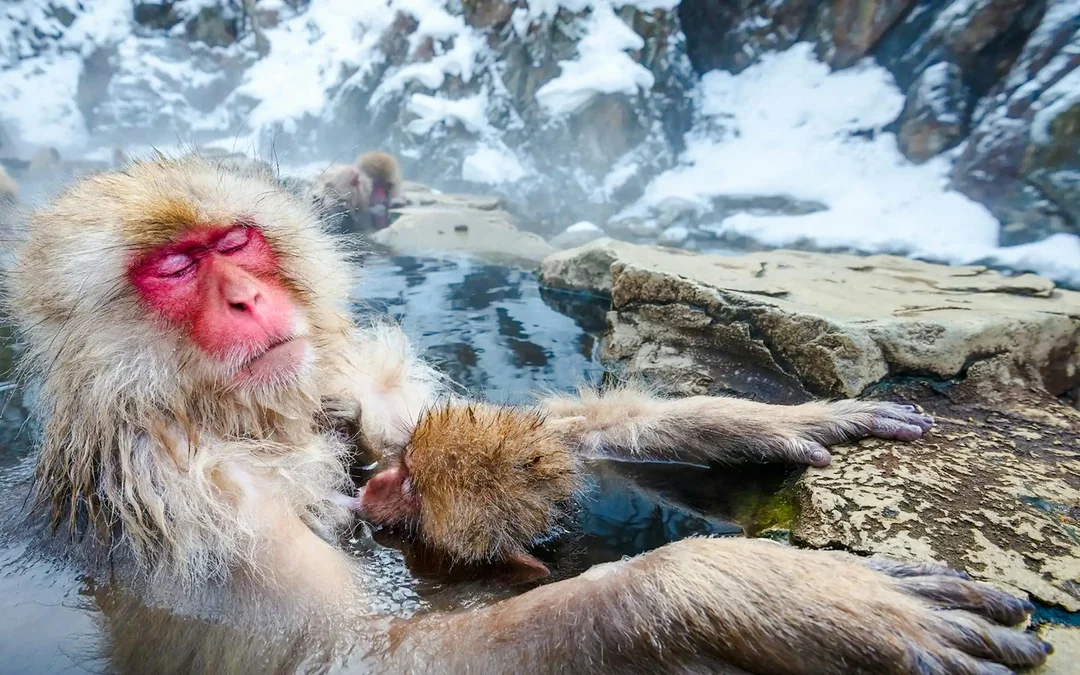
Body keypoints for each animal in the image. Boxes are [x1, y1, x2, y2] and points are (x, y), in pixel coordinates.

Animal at [1, 154, 1050, 674]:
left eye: (235, 243)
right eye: (175, 268)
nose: (248, 299)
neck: (239, 417)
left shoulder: (346, 382)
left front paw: (730, 419)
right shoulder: (192, 503)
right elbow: (340, 656)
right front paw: (751, 591)